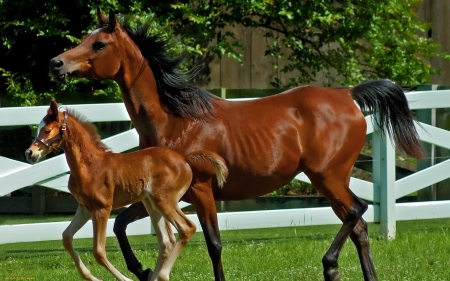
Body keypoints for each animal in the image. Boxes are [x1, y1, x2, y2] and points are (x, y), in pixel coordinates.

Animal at [25, 99, 229, 280]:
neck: (90, 165)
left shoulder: (102, 208)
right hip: (151, 204)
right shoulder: (84, 208)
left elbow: (99, 252)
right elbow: (66, 237)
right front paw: (91, 277)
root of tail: (185, 160)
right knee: (166, 241)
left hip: (165, 201)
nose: (29, 153)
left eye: (47, 130)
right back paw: (155, 276)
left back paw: (162, 275)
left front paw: (125, 279)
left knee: (187, 228)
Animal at [49, 8, 426, 280]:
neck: (177, 120)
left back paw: (329, 264)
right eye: (84, 38)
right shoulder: (161, 195)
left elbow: (214, 244)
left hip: (327, 177)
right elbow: (121, 223)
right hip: (333, 180)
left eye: (99, 44)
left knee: (356, 211)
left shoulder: (200, 191)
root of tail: (348, 95)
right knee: (359, 226)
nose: (56, 62)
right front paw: (141, 269)